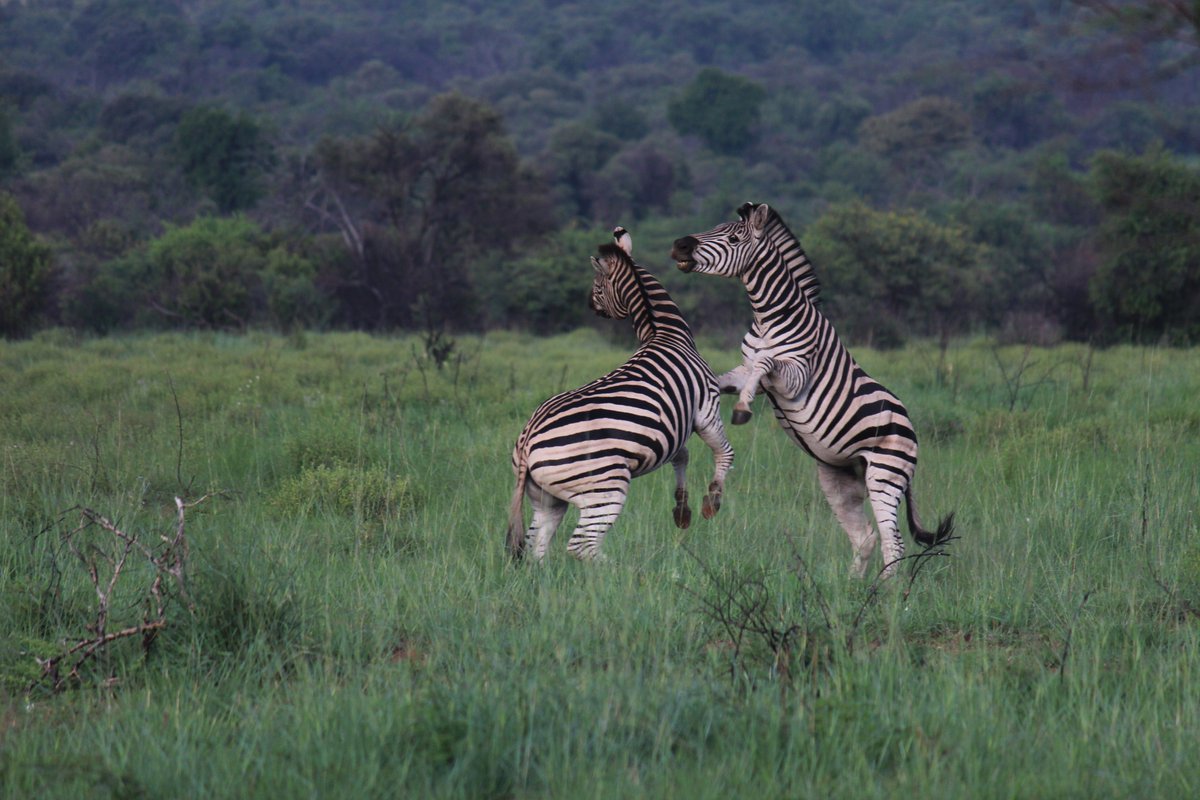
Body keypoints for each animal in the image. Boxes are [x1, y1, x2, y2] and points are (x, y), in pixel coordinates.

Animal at [506, 227, 734, 562]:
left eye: (597, 288)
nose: (591, 307)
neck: (662, 331)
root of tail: (526, 442)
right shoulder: (707, 407)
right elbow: (723, 452)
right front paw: (712, 503)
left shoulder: (674, 424)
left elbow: (681, 456)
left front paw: (682, 510)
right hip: (604, 486)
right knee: (582, 546)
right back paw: (627, 569)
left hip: (546, 496)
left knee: (538, 545)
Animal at [671, 202, 953, 579]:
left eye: (732, 238)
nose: (679, 245)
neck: (769, 317)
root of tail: (909, 424)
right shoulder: (745, 371)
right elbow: (723, 378)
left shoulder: (795, 375)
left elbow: (766, 364)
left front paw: (742, 409)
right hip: (840, 478)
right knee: (865, 538)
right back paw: (851, 588)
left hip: (885, 473)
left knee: (893, 542)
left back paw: (884, 592)